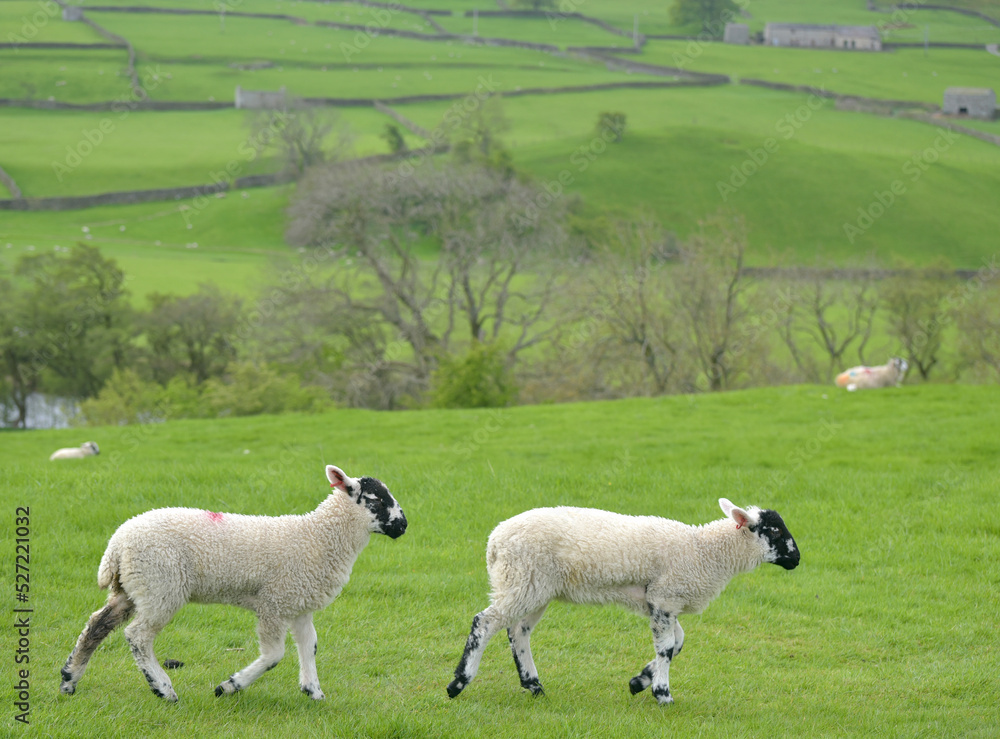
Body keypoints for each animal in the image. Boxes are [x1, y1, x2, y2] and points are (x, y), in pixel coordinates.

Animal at [59, 464, 407, 703]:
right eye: (376, 500)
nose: (403, 525)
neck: (320, 536)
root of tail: (116, 545)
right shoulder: (273, 603)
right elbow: (274, 655)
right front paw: (229, 686)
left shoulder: (298, 604)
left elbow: (310, 645)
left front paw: (314, 691)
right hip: (160, 587)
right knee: (138, 636)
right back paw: (163, 688)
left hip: (133, 588)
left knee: (96, 626)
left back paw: (69, 679)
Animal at [446, 498, 799, 704]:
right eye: (773, 531)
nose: (796, 559)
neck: (705, 551)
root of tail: (494, 542)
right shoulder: (664, 597)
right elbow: (666, 648)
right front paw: (662, 693)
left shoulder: (662, 601)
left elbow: (677, 643)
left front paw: (639, 681)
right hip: (522, 579)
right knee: (485, 622)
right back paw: (459, 683)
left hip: (534, 587)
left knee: (518, 631)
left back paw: (533, 685)